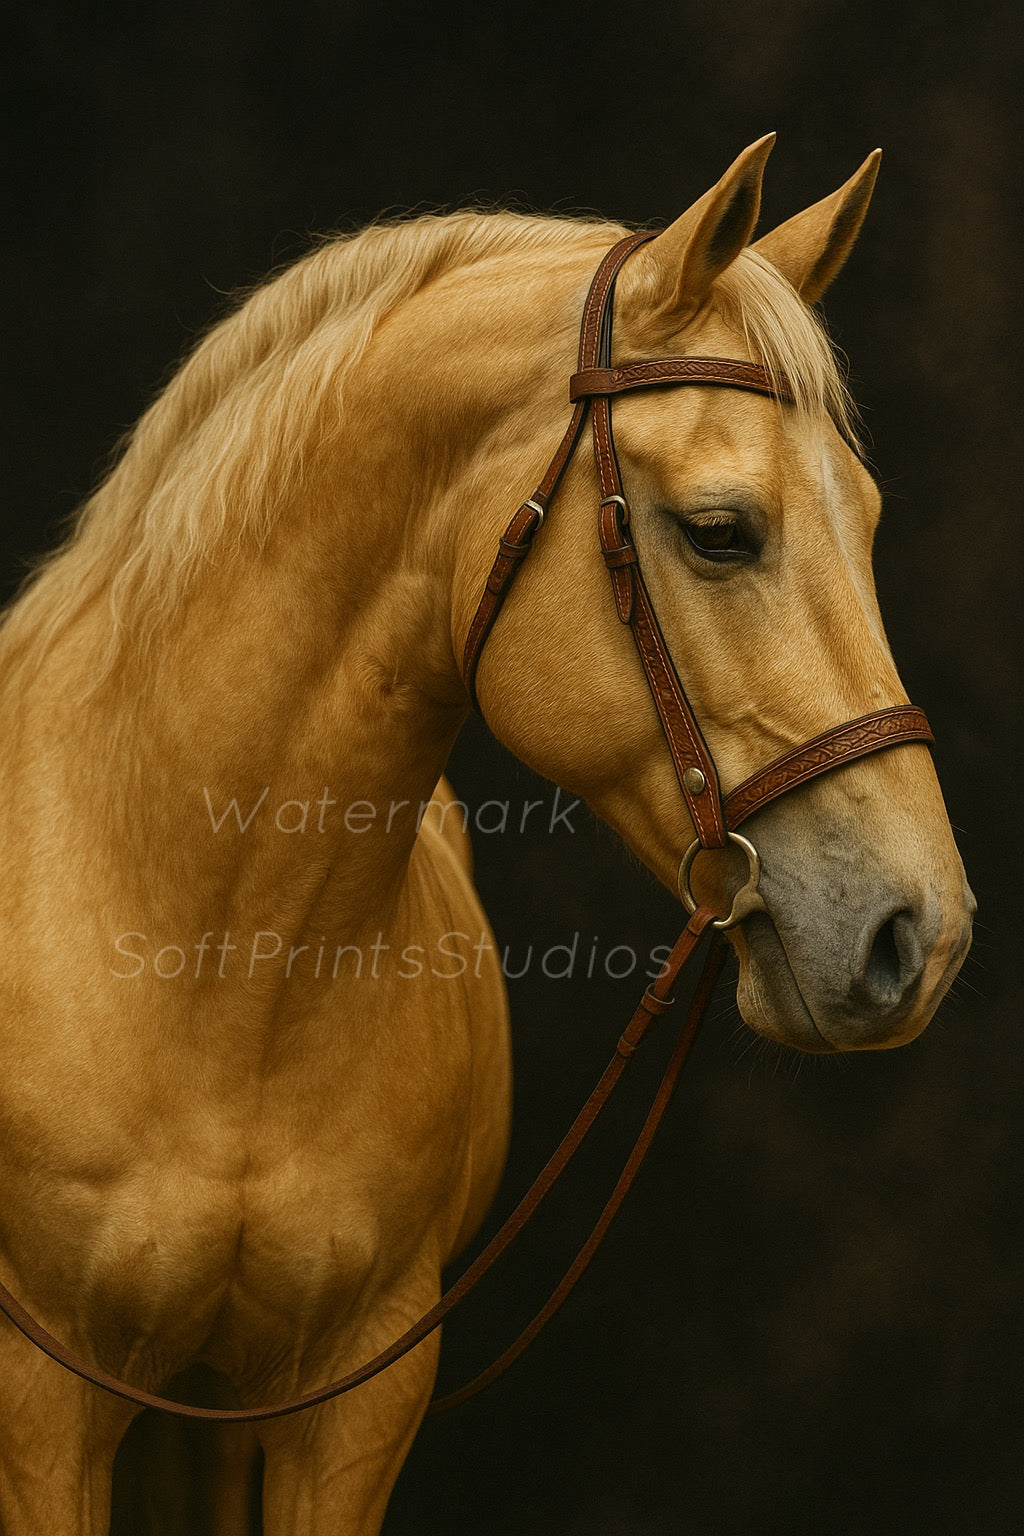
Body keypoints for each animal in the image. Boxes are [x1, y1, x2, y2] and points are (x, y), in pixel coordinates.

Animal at [0, 135, 974, 1533]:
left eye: (872, 515)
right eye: (719, 532)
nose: (921, 933)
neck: (201, 946)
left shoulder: (353, 1400)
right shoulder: (43, 1406)